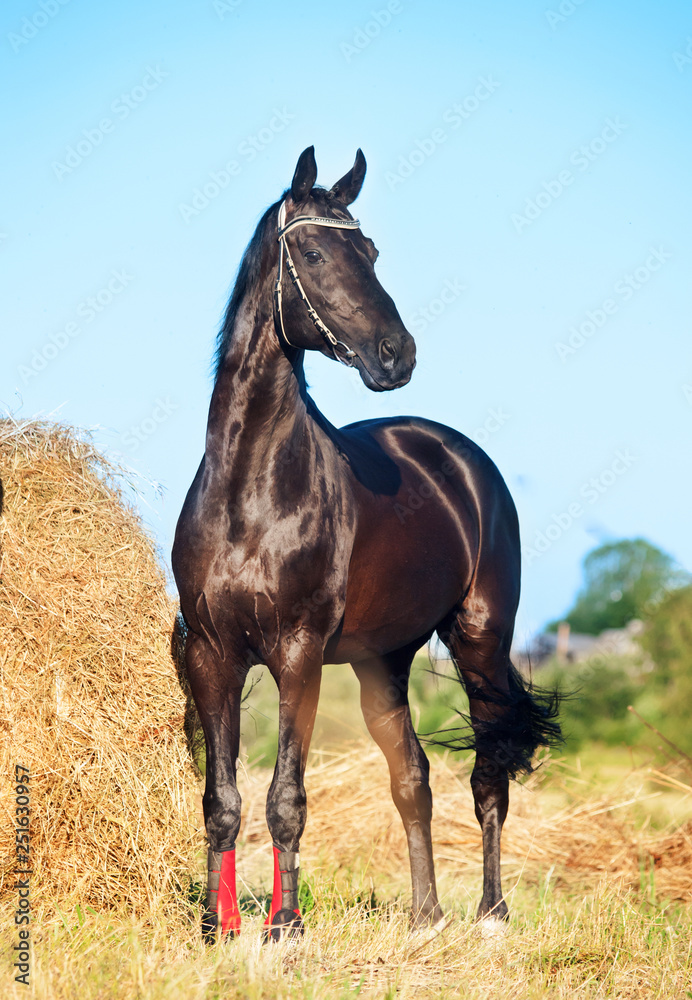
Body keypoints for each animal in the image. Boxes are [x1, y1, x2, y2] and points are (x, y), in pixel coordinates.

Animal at [173, 145, 564, 940]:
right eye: (315, 252)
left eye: (373, 251)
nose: (397, 355)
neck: (249, 494)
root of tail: (458, 457)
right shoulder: (210, 654)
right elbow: (221, 802)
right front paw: (218, 930)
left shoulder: (297, 654)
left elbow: (286, 800)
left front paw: (285, 927)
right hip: (382, 661)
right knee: (412, 775)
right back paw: (425, 916)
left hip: (481, 640)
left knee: (488, 774)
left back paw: (491, 913)